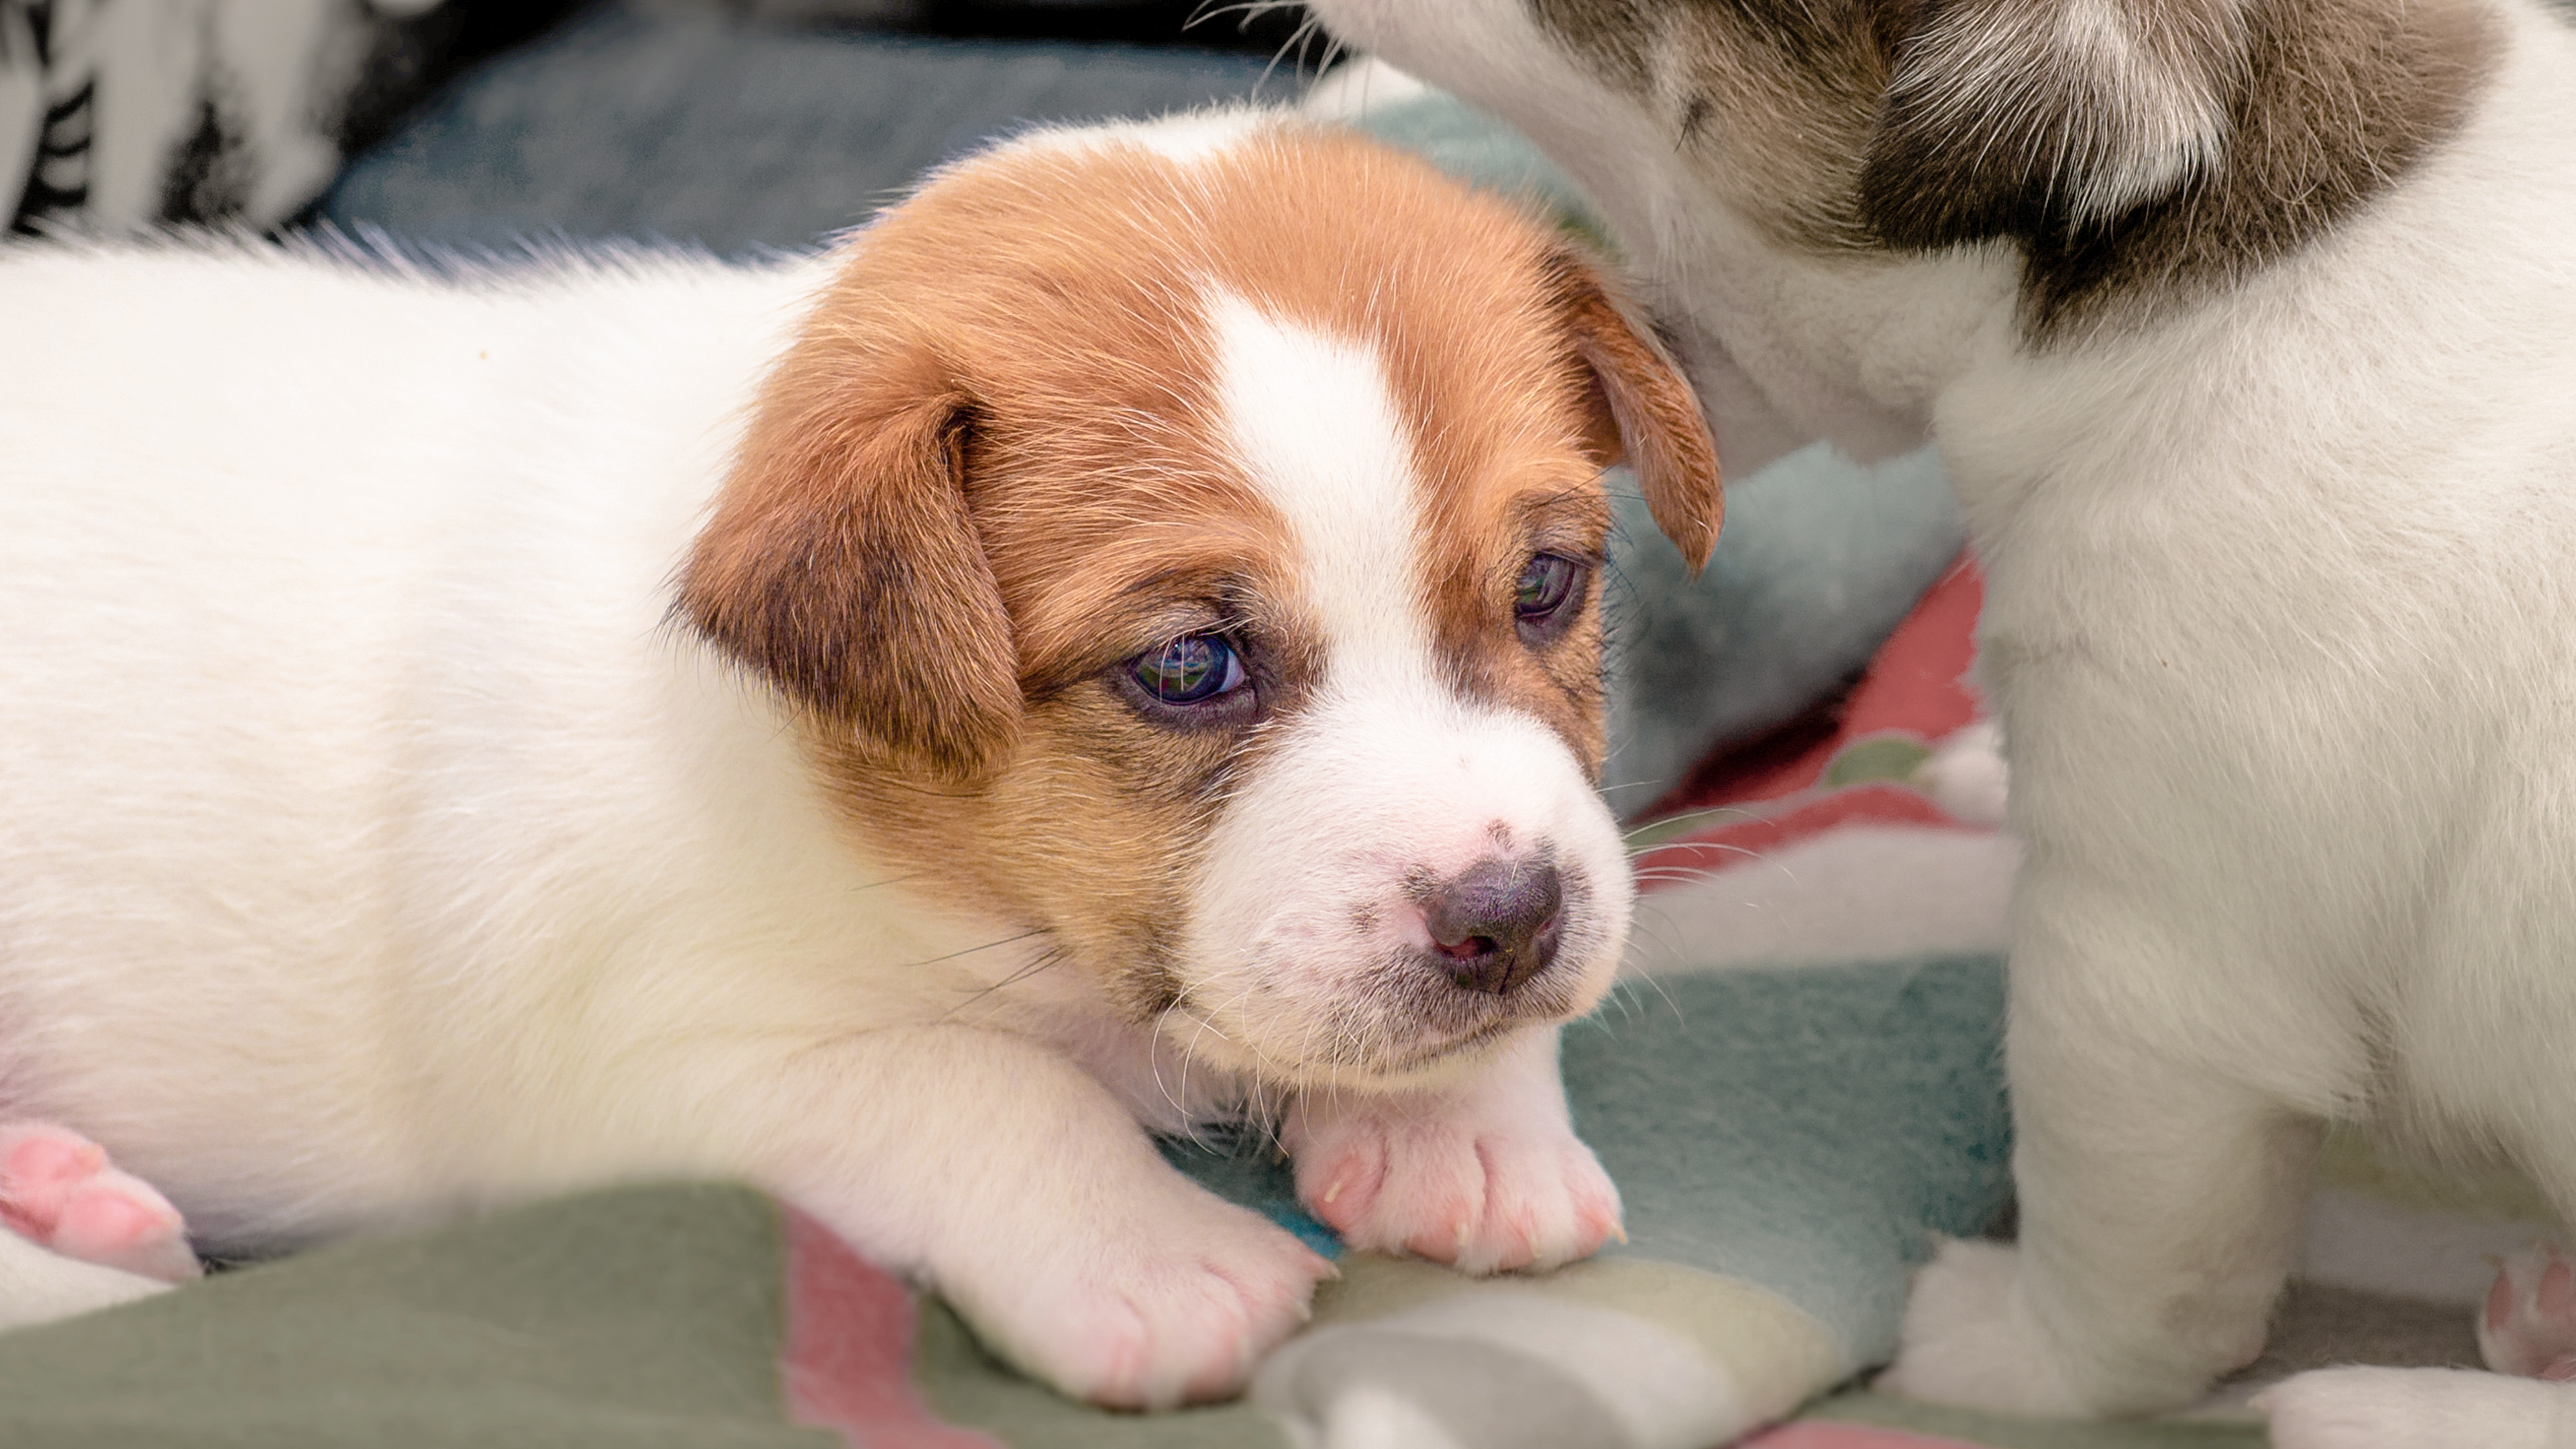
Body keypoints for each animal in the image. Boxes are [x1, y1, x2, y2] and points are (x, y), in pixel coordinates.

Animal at [5, 110, 1731, 1402]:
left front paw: (1470, 1127)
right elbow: (979, 1089)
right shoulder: (645, 1061)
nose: (1510, 923)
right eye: (1189, 667)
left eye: (1545, 584)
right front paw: (1149, 1254)